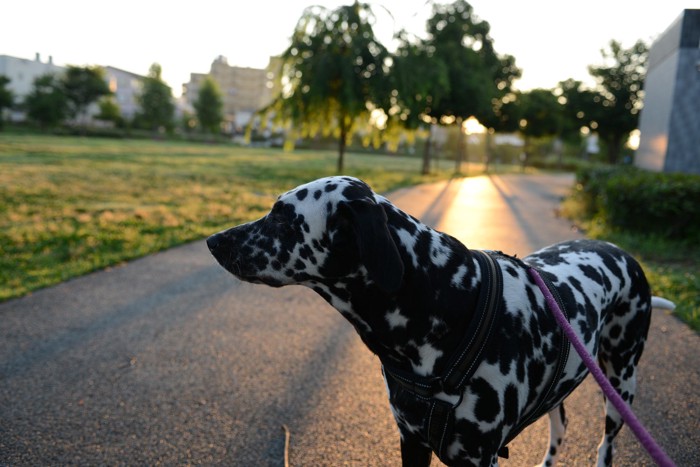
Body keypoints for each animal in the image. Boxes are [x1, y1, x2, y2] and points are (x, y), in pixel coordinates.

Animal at [205, 176, 676, 467]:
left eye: (282, 215)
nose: (213, 240)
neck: (446, 296)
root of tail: (627, 256)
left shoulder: (478, 458)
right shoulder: (412, 442)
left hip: (620, 390)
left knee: (604, 446)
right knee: (559, 429)